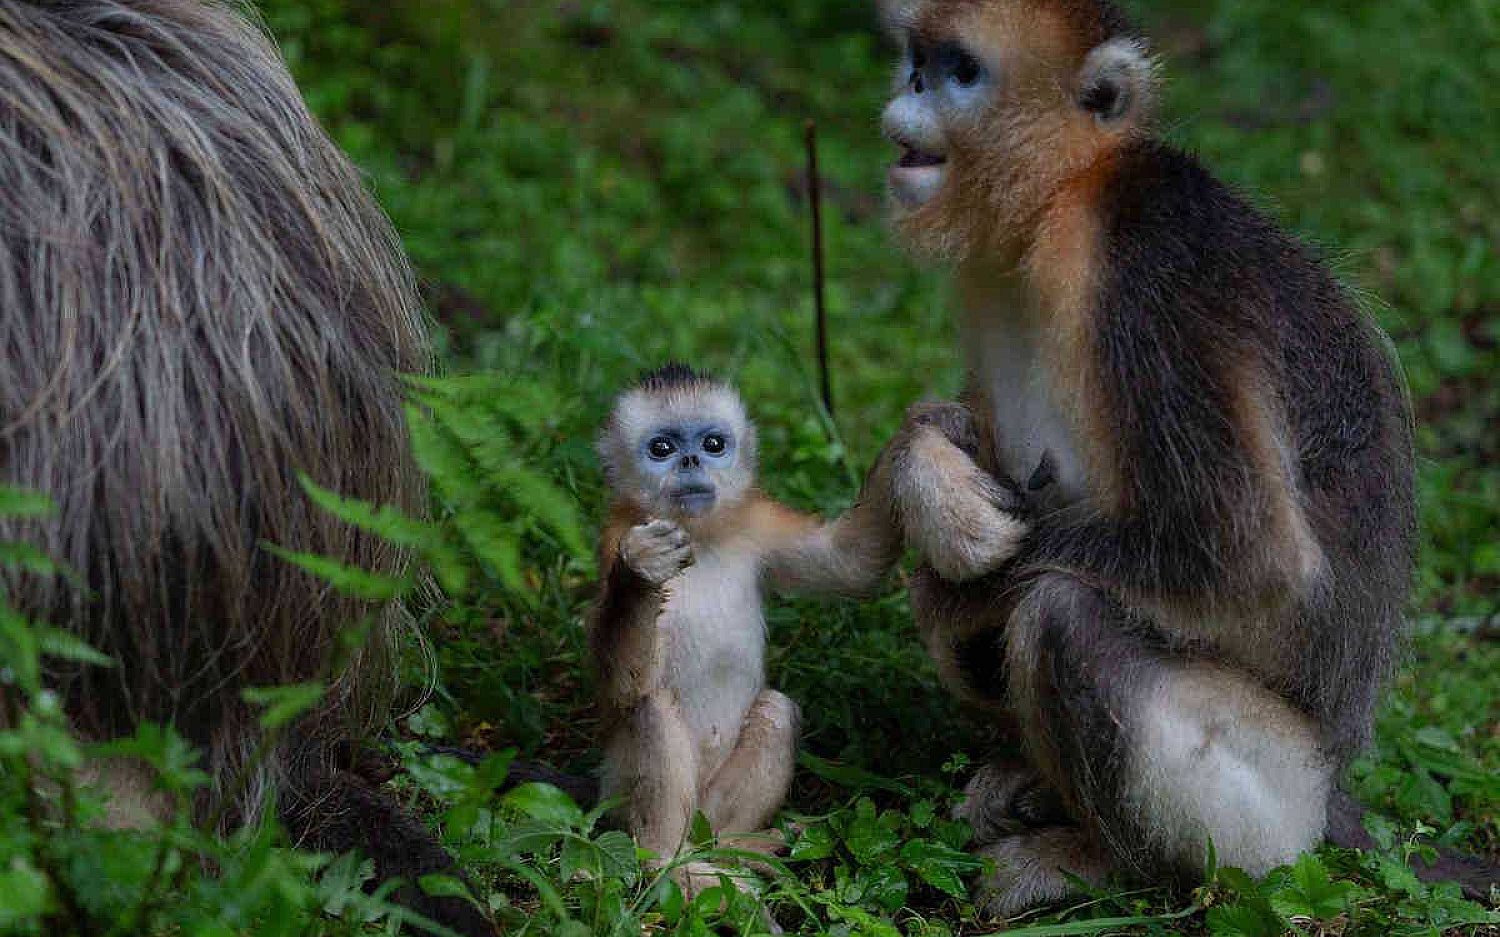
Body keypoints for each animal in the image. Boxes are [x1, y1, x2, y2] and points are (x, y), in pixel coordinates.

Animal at [591, 365, 903, 887]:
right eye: (662, 448)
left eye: (714, 443)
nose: (692, 461)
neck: (700, 536)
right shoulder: (616, 534)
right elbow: (621, 689)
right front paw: (643, 571)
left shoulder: (757, 520)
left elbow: (850, 563)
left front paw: (921, 438)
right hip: (615, 793)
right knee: (652, 710)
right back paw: (669, 865)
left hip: (708, 810)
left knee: (776, 711)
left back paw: (740, 849)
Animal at [869, 0, 1496, 914]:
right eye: (917, 60)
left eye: (961, 70)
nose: (911, 89)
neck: (1066, 193)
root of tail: (1331, 789)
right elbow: (954, 425)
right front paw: (929, 477)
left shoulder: (1143, 268)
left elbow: (1249, 557)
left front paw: (951, 596)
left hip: (1270, 801)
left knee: (1063, 613)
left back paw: (1094, 859)